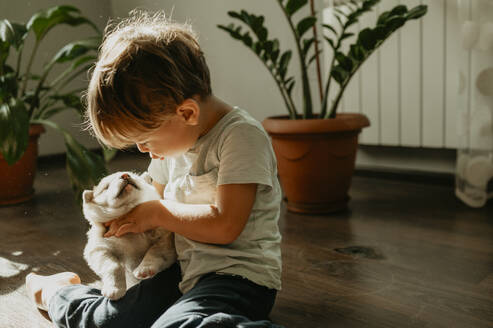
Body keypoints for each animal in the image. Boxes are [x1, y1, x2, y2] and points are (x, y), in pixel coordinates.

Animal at [80, 172, 174, 300]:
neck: (129, 232)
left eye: (132, 174)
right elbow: (113, 266)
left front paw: (145, 268)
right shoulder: (99, 247)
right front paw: (114, 289)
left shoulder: (164, 236)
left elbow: (155, 251)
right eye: (106, 187)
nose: (125, 175)